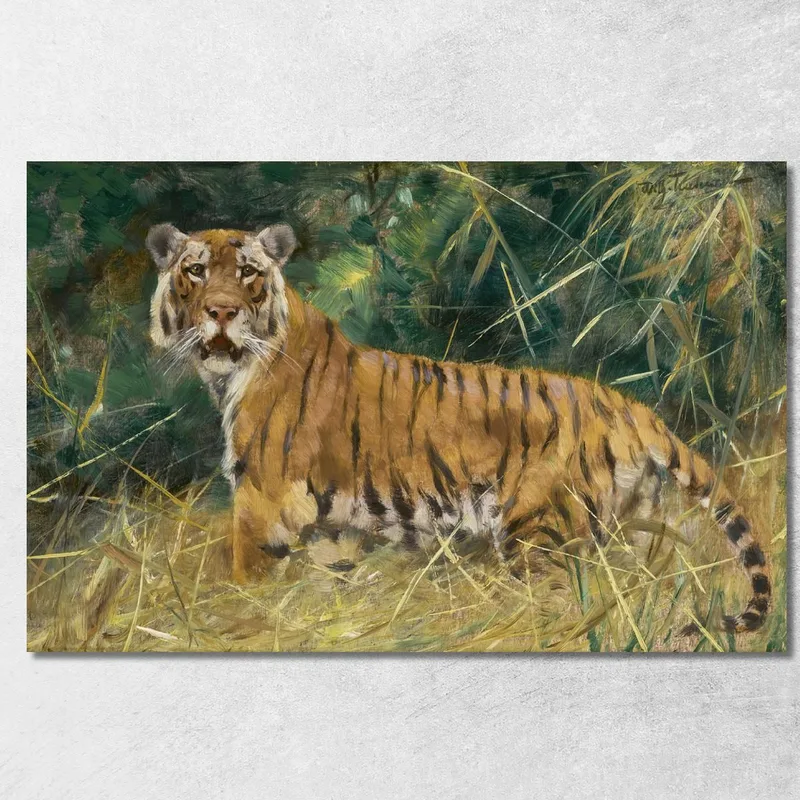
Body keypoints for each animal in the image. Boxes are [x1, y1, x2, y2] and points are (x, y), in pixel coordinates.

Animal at [146, 222, 771, 633]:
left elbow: (244, 581)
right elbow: (326, 585)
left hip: (538, 533)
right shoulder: (330, 529)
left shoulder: (262, 503)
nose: (221, 312)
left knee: (559, 606)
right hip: (633, 531)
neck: (230, 374)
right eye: (196, 271)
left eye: (247, 274)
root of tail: (628, 406)